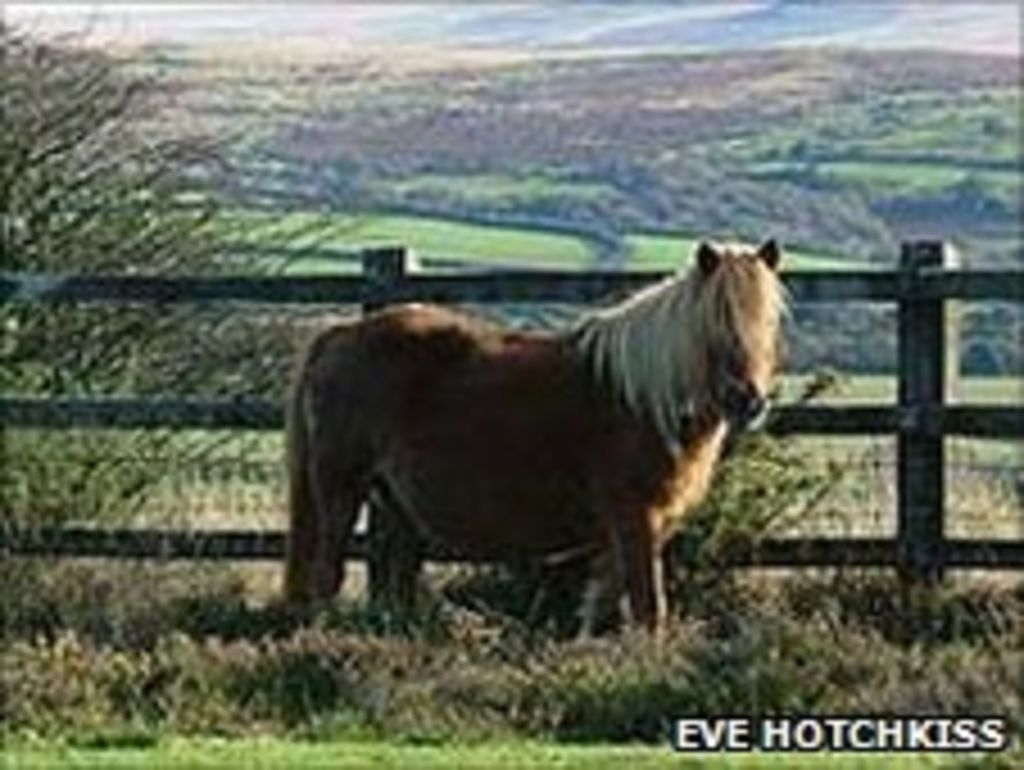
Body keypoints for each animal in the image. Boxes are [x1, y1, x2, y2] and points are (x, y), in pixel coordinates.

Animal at [282, 239, 786, 633]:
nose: (750, 401)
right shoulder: (635, 518)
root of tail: (339, 334)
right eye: (717, 322)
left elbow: (602, 601)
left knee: (397, 586)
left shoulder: (629, 528)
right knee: (326, 575)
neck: (643, 395)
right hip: (342, 489)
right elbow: (647, 608)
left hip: (396, 506)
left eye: (768, 323)